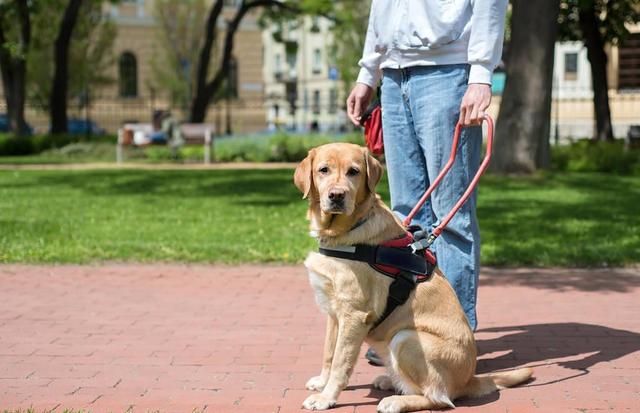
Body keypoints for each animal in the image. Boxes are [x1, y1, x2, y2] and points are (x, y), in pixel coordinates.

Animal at [294, 143, 528, 410]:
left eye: (354, 171)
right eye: (323, 170)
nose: (336, 196)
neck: (345, 232)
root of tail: (469, 379)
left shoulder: (354, 315)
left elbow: (340, 364)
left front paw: (326, 398)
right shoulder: (334, 313)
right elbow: (329, 353)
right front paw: (322, 383)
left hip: (405, 338)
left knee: (440, 398)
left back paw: (396, 401)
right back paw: (390, 381)